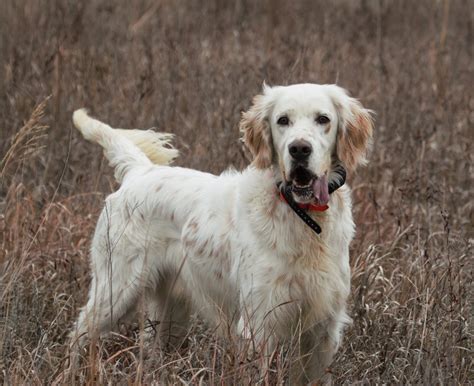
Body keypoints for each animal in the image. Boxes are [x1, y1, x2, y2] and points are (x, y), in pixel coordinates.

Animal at [70, 83, 374, 382]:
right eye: (282, 120)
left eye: (323, 119)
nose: (299, 149)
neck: (302, 216)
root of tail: (140, 171)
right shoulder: (259, 324)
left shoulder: (322, 330)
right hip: (115, 291)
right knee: (78, 335)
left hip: (170, 315)